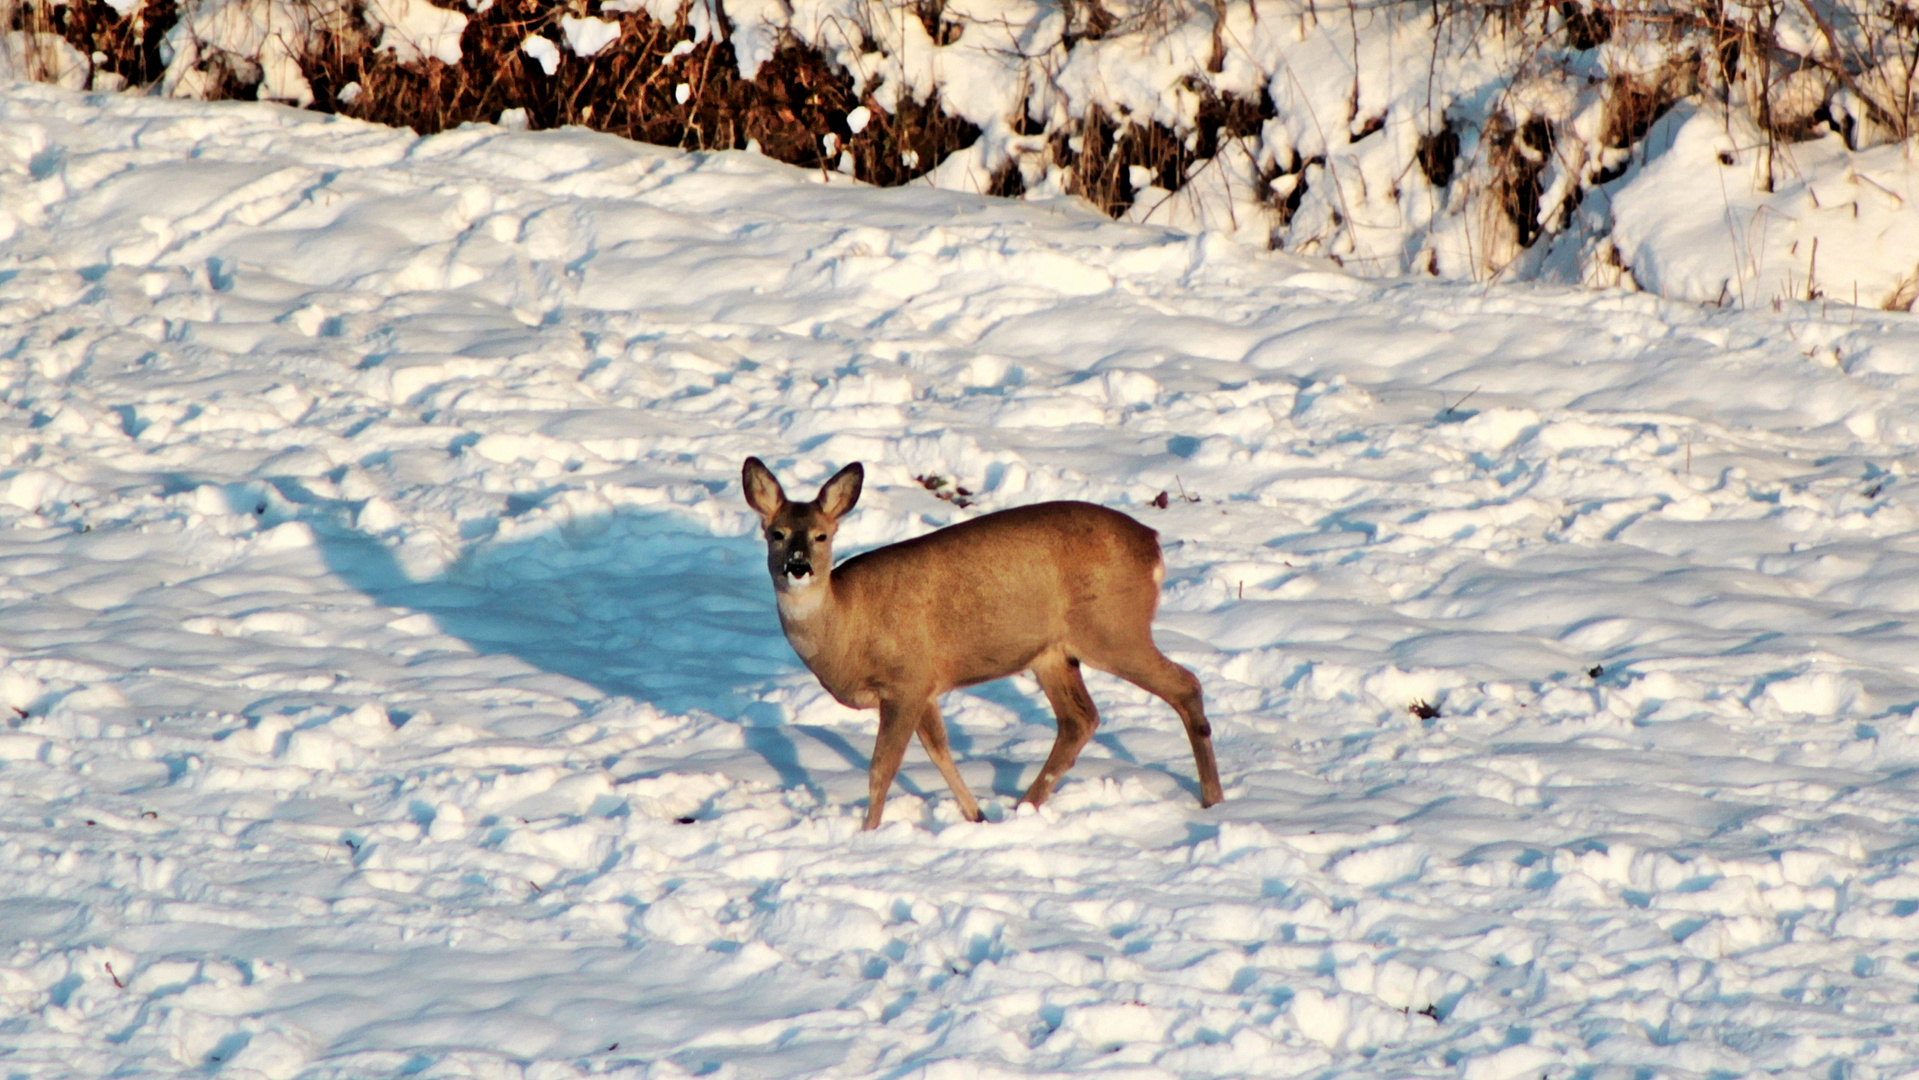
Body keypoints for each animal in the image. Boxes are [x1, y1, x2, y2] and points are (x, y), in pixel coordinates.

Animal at [740, 456, 1220, 828]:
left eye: (822, 536)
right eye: (775, 533)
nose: (797, 567)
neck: (846, 626)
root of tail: (1153, 544)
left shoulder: (906, 681)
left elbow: (882, 768)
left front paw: (868, 833)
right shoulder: (925, 686)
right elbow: (939, 751)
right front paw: (977, 816)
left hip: (1113, 629)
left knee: (1185, 684)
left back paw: (1212, 800)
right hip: (1053, 653)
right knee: (1080, 718)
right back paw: (1025, 807)